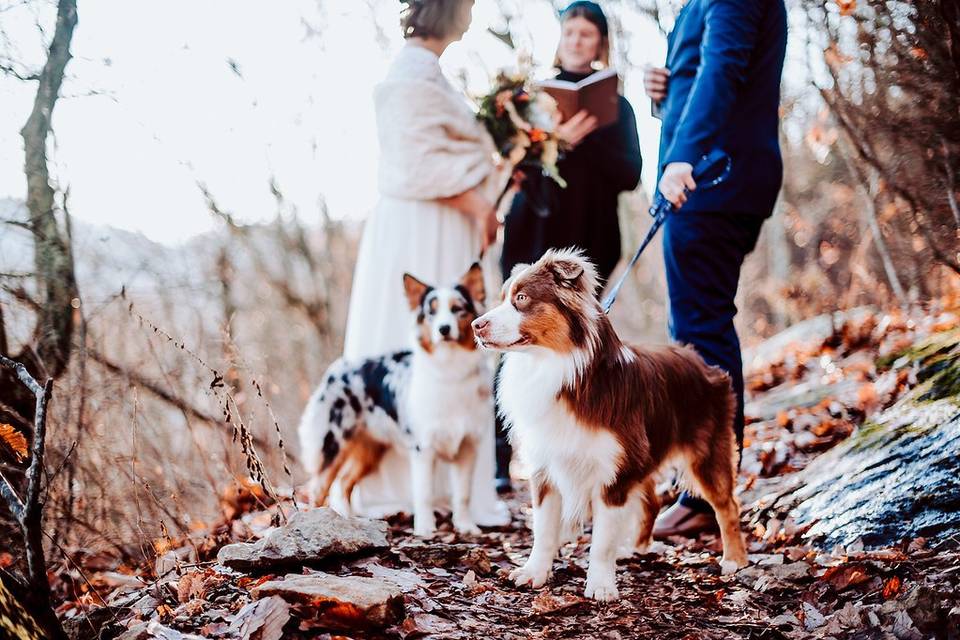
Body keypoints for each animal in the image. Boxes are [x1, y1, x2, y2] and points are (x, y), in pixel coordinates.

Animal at [472, 249, 752, 600]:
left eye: (521, 299)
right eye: (502, 298)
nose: (475, 325)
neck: (559, 367)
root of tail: (700, 360)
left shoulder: (614, 472)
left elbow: (602, 540)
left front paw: (601, 584)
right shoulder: (546, 465)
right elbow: (544, 529)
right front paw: (534, 572)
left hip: (706, 453)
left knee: (727, 505)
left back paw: (735, 559)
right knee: (653, 501)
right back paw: (637, 547)